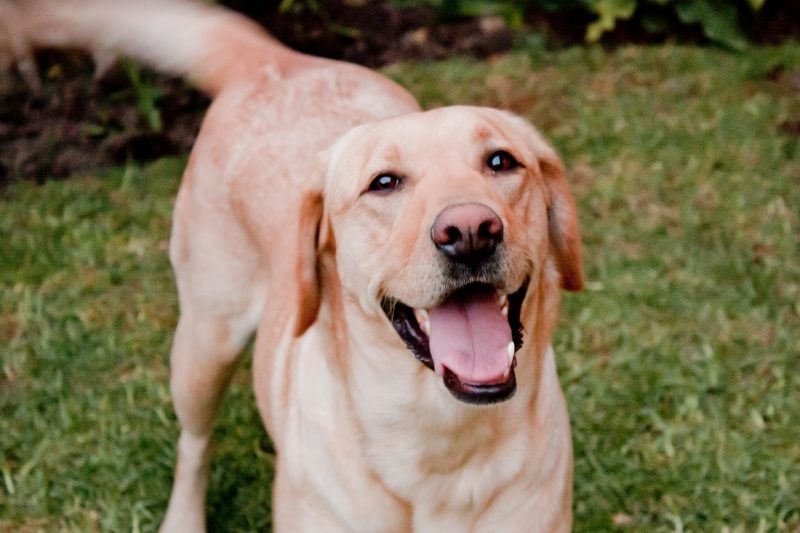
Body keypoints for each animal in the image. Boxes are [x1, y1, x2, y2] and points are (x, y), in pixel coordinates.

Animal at [3, 1, 584, 528]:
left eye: (501, 161)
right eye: (384, 182)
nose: (470, 233)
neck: (442, 441)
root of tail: (275, 60)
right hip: (202, 346)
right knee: (194, 444)